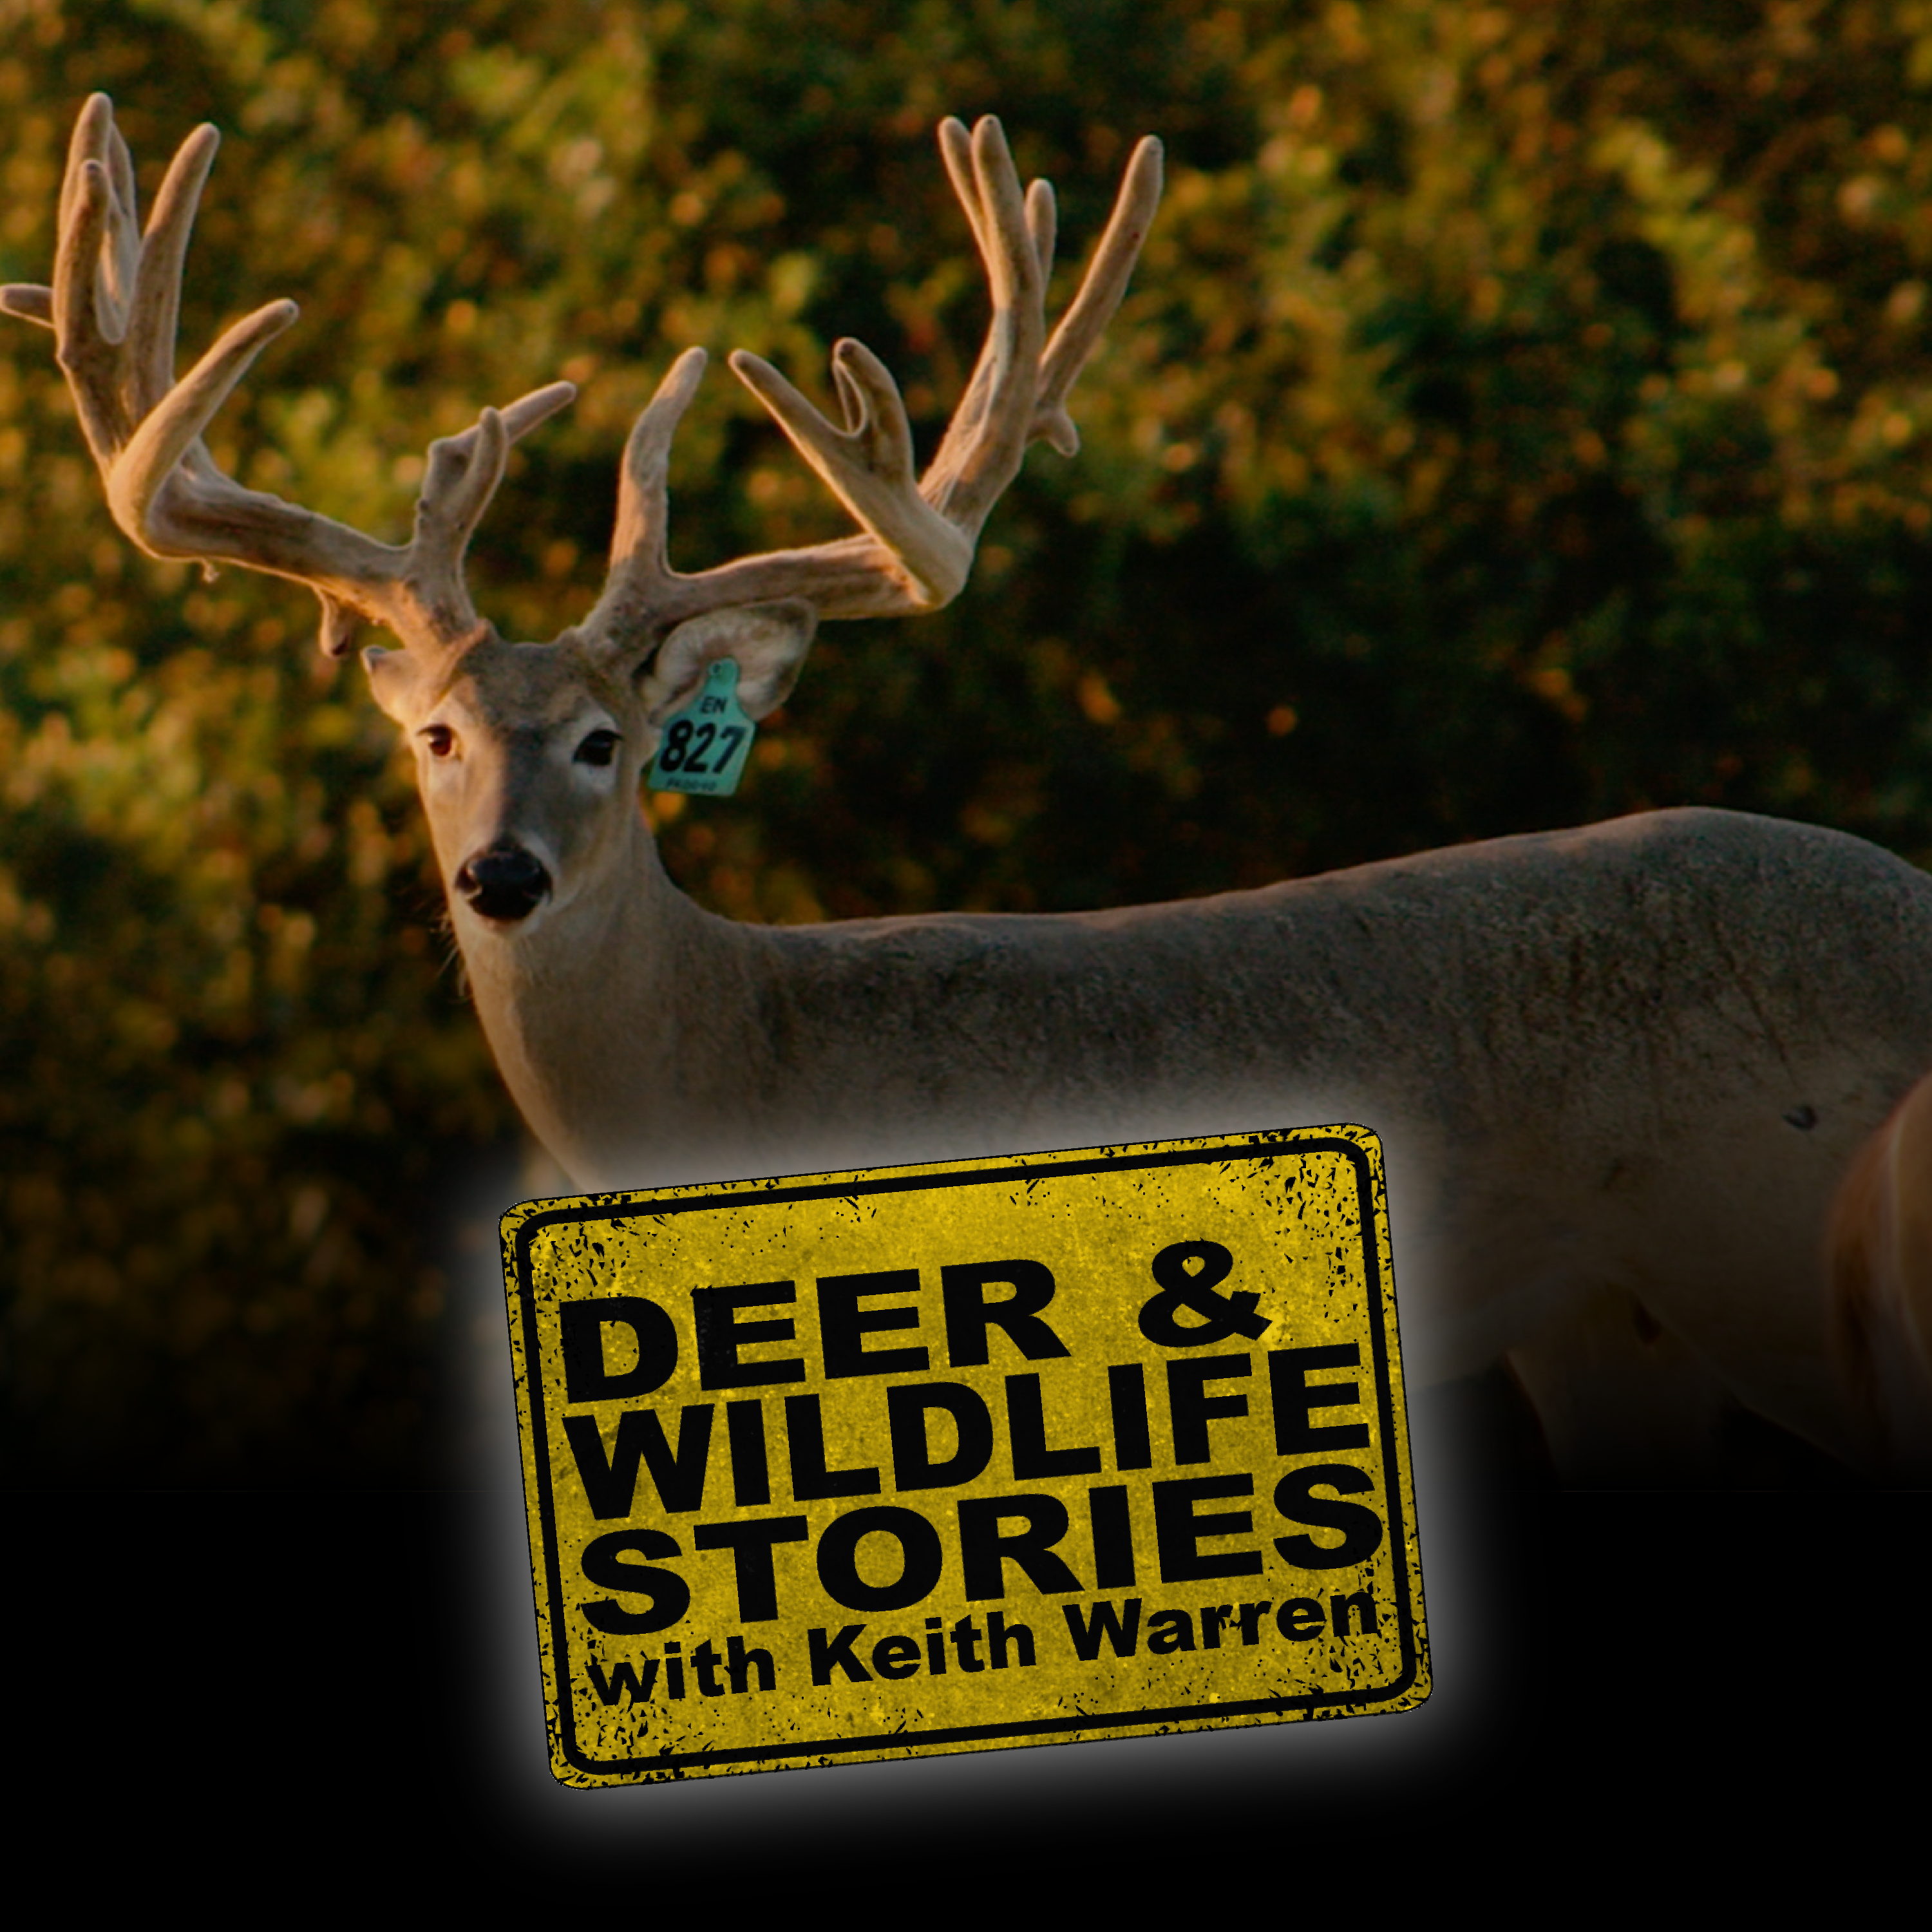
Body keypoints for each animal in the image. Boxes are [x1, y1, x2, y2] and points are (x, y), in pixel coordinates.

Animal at [9, 94, 1932, 1485]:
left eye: (606, 744)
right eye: (435, 738)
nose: (501, 878)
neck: (747, 1064)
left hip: (1776, 1261)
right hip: (1613, 1333)